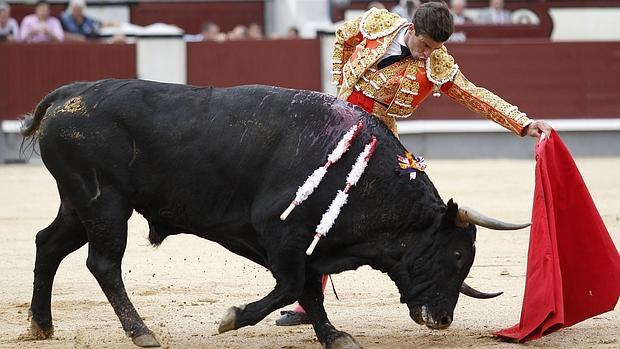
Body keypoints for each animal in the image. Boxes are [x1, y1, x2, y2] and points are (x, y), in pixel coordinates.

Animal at [21, 79, 524, 348]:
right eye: (456, 256)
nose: (443, 320)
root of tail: (70, 93)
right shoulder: (280, 235)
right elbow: (290, 286)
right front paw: (231, 318)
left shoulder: (310, 246)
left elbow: (309, 292)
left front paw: (334, 336)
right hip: (105, 204)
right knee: (103, 263)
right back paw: (141, 331)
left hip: (78, 205)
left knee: (48, 244)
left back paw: (41, 325)